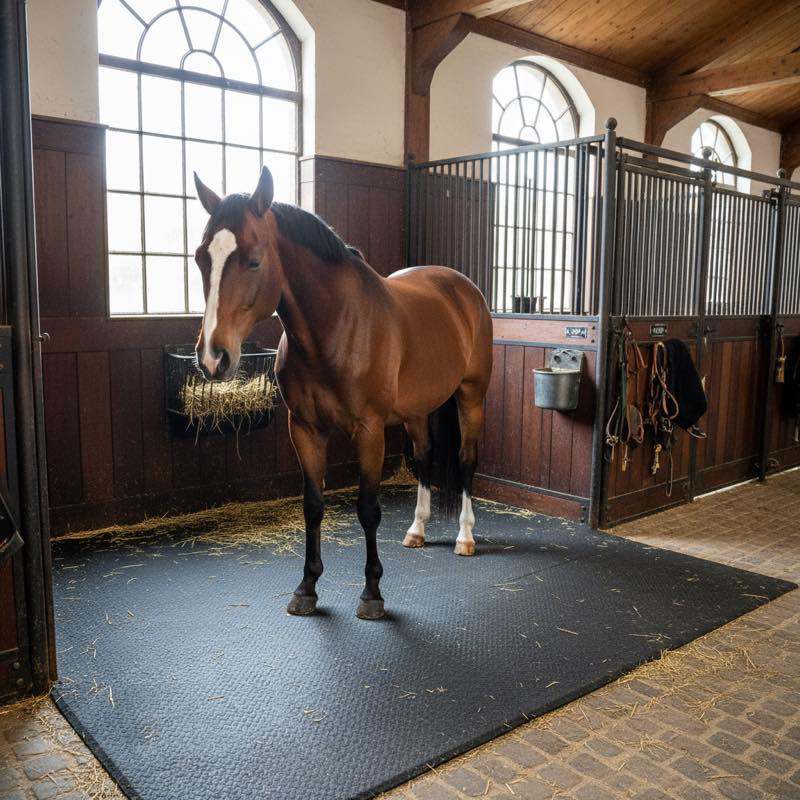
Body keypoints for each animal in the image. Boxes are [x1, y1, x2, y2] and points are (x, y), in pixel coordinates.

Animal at [192, 166, 493, 620]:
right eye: (200, 258)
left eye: (254, 260)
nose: (213, 358)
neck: (335, 327)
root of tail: (463, 289)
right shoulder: (305, 429)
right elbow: (313, 505)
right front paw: (306, 587)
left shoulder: (369, 431)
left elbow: (368, 509)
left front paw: (372, 594)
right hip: (416, 410)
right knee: (424, 458)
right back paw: (417, 529)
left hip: (471, 397)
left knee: (465, 461)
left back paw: (465, 536)